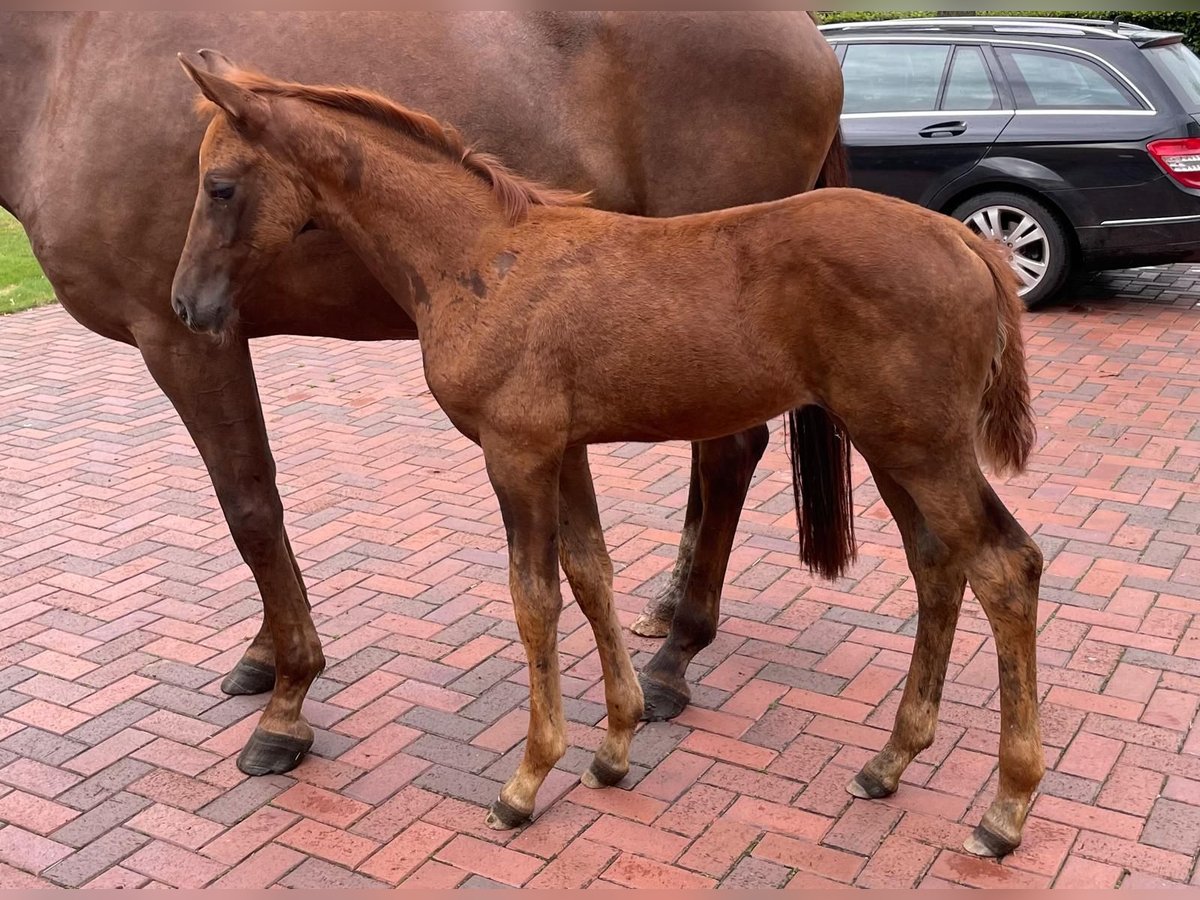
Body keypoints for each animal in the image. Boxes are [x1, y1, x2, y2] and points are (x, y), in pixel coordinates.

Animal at [0, 15, 844, 734]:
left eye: (221, 188)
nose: (189, 298)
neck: (58, 63)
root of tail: (808, 33)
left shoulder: (181, 342)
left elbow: (249, 507)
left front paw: (287, 697)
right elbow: (258, 502)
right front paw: (268, 656)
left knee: (729, 453)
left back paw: (674, 660)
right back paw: (669, 612)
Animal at [169, 54, 1041, 859]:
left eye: (219, 185)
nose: (187, 304)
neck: (480, 255)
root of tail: (966, 242)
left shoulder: (515, 452)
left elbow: (534, 599)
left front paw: (526, 782)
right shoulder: (566, 450)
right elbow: (592, 575)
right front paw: (615, 747)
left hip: (919, 444)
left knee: (1005, 566)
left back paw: (1004, 811)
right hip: (892, 443)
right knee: (937, 564)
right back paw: (889, 761)